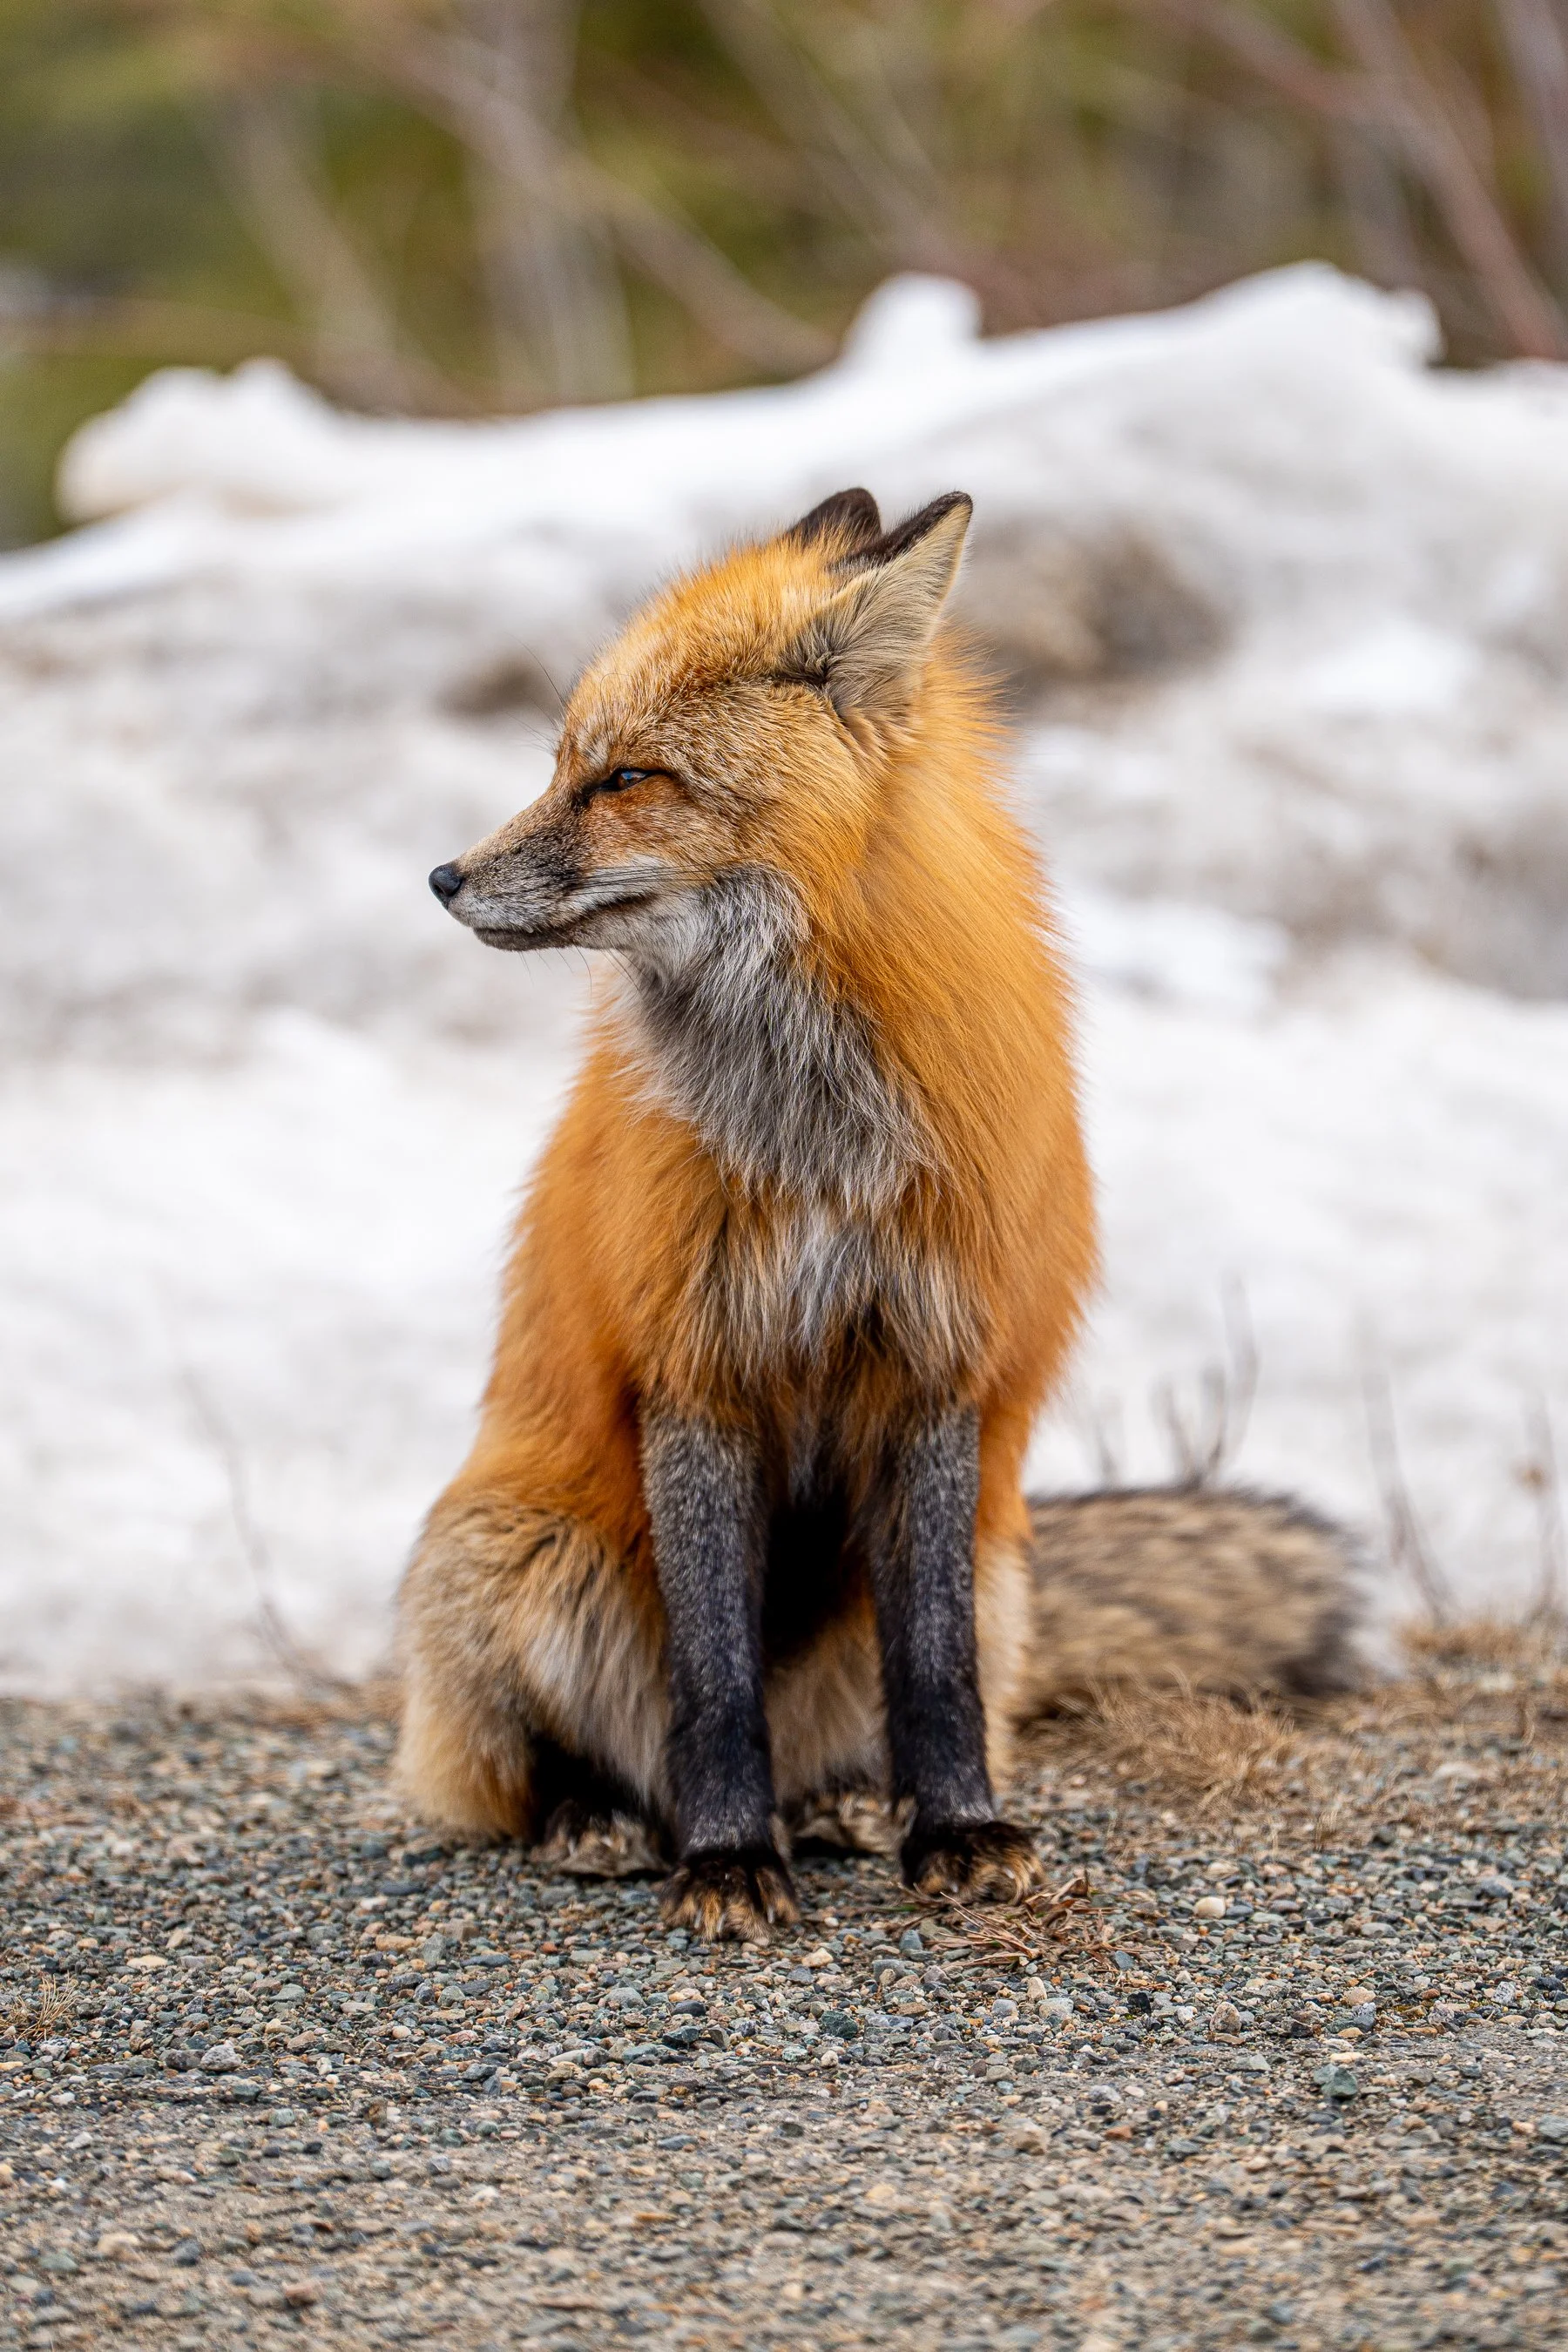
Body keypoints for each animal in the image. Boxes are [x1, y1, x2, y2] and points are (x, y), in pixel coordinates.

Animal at [400, 485, 1362, 1940]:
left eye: (626, 780)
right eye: (566, 763)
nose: (446, 878)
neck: (817, 1138)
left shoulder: (935, 1361)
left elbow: (936, 1668)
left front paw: (954, 1831)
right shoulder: (698, 1365)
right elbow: (715, 1680)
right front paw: (726, 1861)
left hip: (997, 1573)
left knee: (876, 1712)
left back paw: (847, 1802)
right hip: (526, 1552)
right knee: (549, 1764)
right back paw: (608, 1817)